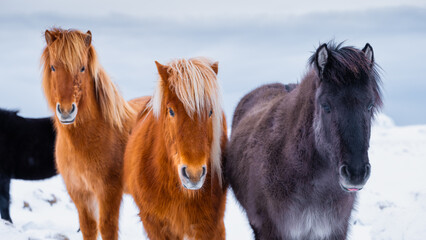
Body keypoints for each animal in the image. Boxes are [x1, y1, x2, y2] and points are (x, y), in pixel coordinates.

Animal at [41, 28, 145, 240]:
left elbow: (107, 228)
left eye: (82, 68)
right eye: (53, 67)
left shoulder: (108, 192)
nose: (66, 111)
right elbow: (89, 228)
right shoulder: (80, 194)